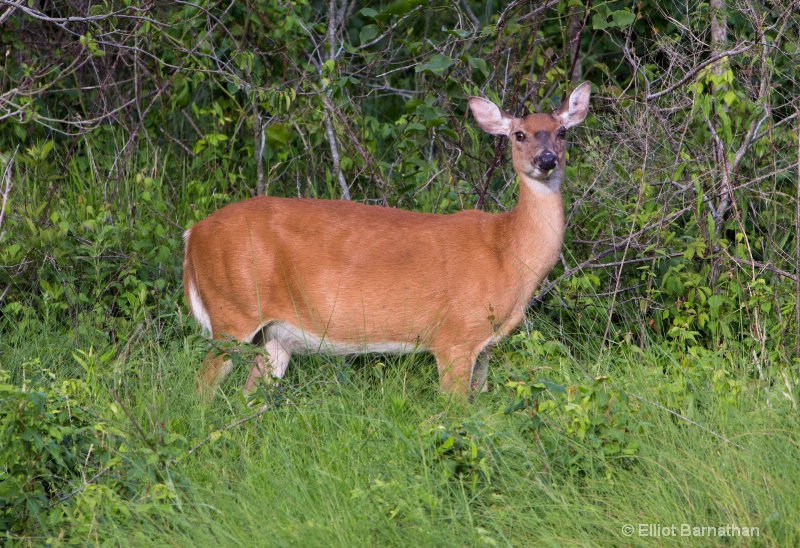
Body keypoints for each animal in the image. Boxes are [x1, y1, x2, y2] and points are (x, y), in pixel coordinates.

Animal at [184, 80, 592, 398]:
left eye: (562, 132)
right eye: (519, 134)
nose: (546, 160)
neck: (506, 252)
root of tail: (192, 235)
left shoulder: (485, 346)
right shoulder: (453, 336)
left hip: (275, 335)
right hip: (232, 310)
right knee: (201, 389)